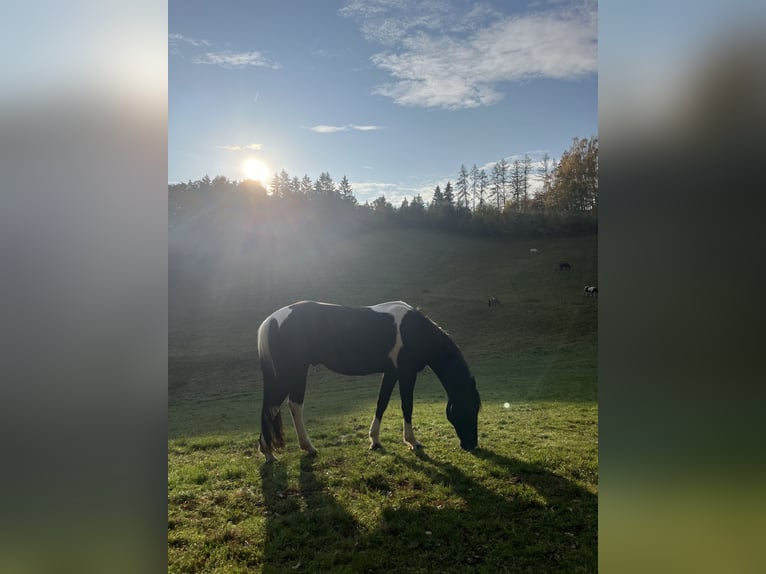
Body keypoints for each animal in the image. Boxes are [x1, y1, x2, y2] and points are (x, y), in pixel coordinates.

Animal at [257, 301, 481, 462]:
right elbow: (407, 406)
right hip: (292, 373)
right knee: (283, 407)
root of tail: (271, 320)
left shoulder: (391, 373)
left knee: (277, 407)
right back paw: (288, 450)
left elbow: (382, 403)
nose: (471, 445)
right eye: (470, 408)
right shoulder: (407, 374)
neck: (415, 330)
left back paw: (279, 450)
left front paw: (375, 440)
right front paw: (412, 442)